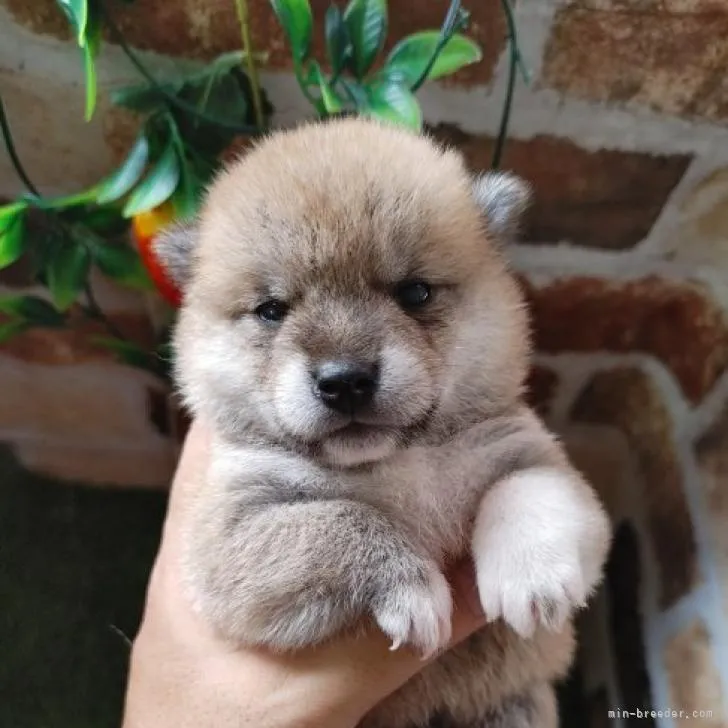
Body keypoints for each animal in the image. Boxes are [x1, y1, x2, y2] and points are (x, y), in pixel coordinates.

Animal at [156, 119, 612, 728]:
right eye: (273, 310)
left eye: (414, 292)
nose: (345, 380)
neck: (398, 462)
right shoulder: (232, 534)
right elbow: (341, 522)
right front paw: (411, 588)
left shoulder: (529, 455)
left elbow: (524, 493)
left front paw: (530, 577)